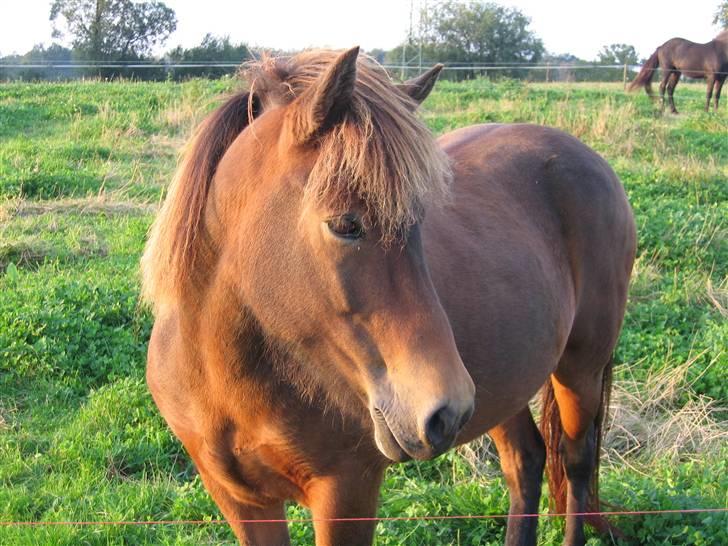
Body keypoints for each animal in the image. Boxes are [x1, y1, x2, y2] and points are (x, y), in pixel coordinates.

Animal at [141, 47, 632, 544]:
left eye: (419, 223)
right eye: (345, 224)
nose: (445, 412)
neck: (222, 377)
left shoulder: (346, 495)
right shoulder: (243, 503)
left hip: (579, 369)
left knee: (576, 460)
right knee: (526, 461)